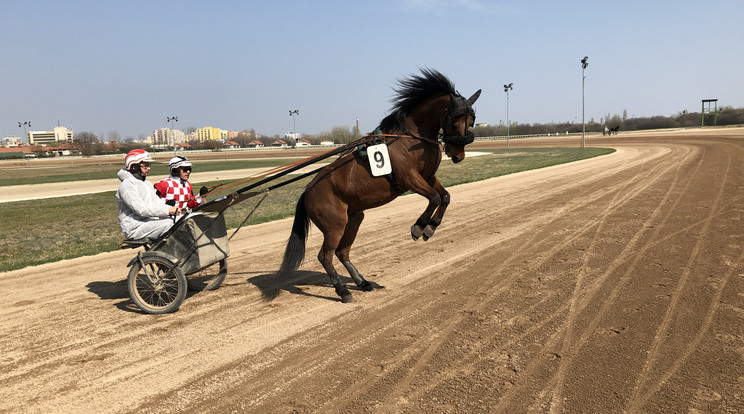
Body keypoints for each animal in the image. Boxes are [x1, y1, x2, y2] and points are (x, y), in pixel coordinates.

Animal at [280, 68, 482, 300]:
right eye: (455, 119)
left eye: (472, 121)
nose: (457, 154)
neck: (412, 137)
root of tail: (308, 189)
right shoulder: (409, 178)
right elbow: (434, 198)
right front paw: (419, 227)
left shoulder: (428, 176)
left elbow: (445, 197)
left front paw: (430, 227)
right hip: (334, 225)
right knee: (325, 255)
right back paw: (342, 290)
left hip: (354, 218)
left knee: (342, 252)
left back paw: (362, 282)